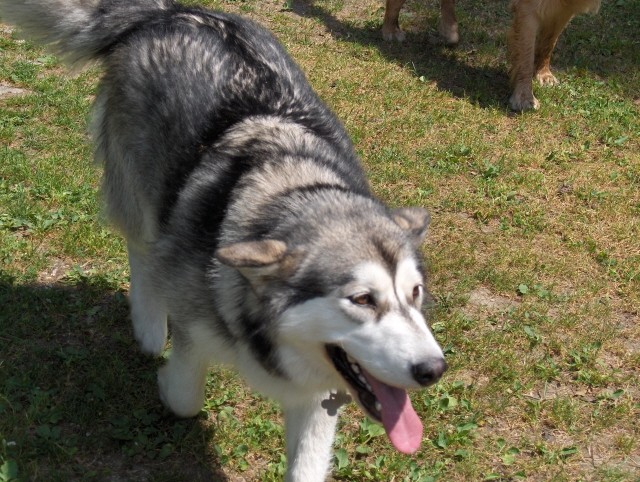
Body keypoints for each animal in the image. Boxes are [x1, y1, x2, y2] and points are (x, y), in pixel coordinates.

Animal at [0, 1, 448, 480]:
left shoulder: (317, 400)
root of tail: (168, 13)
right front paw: (165, 380)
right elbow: (184, 397)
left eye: (415, 293)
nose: (433, 369)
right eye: (362, 299)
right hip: (141, 193)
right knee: (143, 249)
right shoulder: (193, 332)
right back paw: (148, 324)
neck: (295, 189)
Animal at [384, 0, 600, 111]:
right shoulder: (529, 10)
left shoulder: (563, 10)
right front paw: (524, 97)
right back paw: (391, 29)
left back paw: (449, 31)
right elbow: (525, 58)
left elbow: (548, 44)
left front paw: (543, 75)